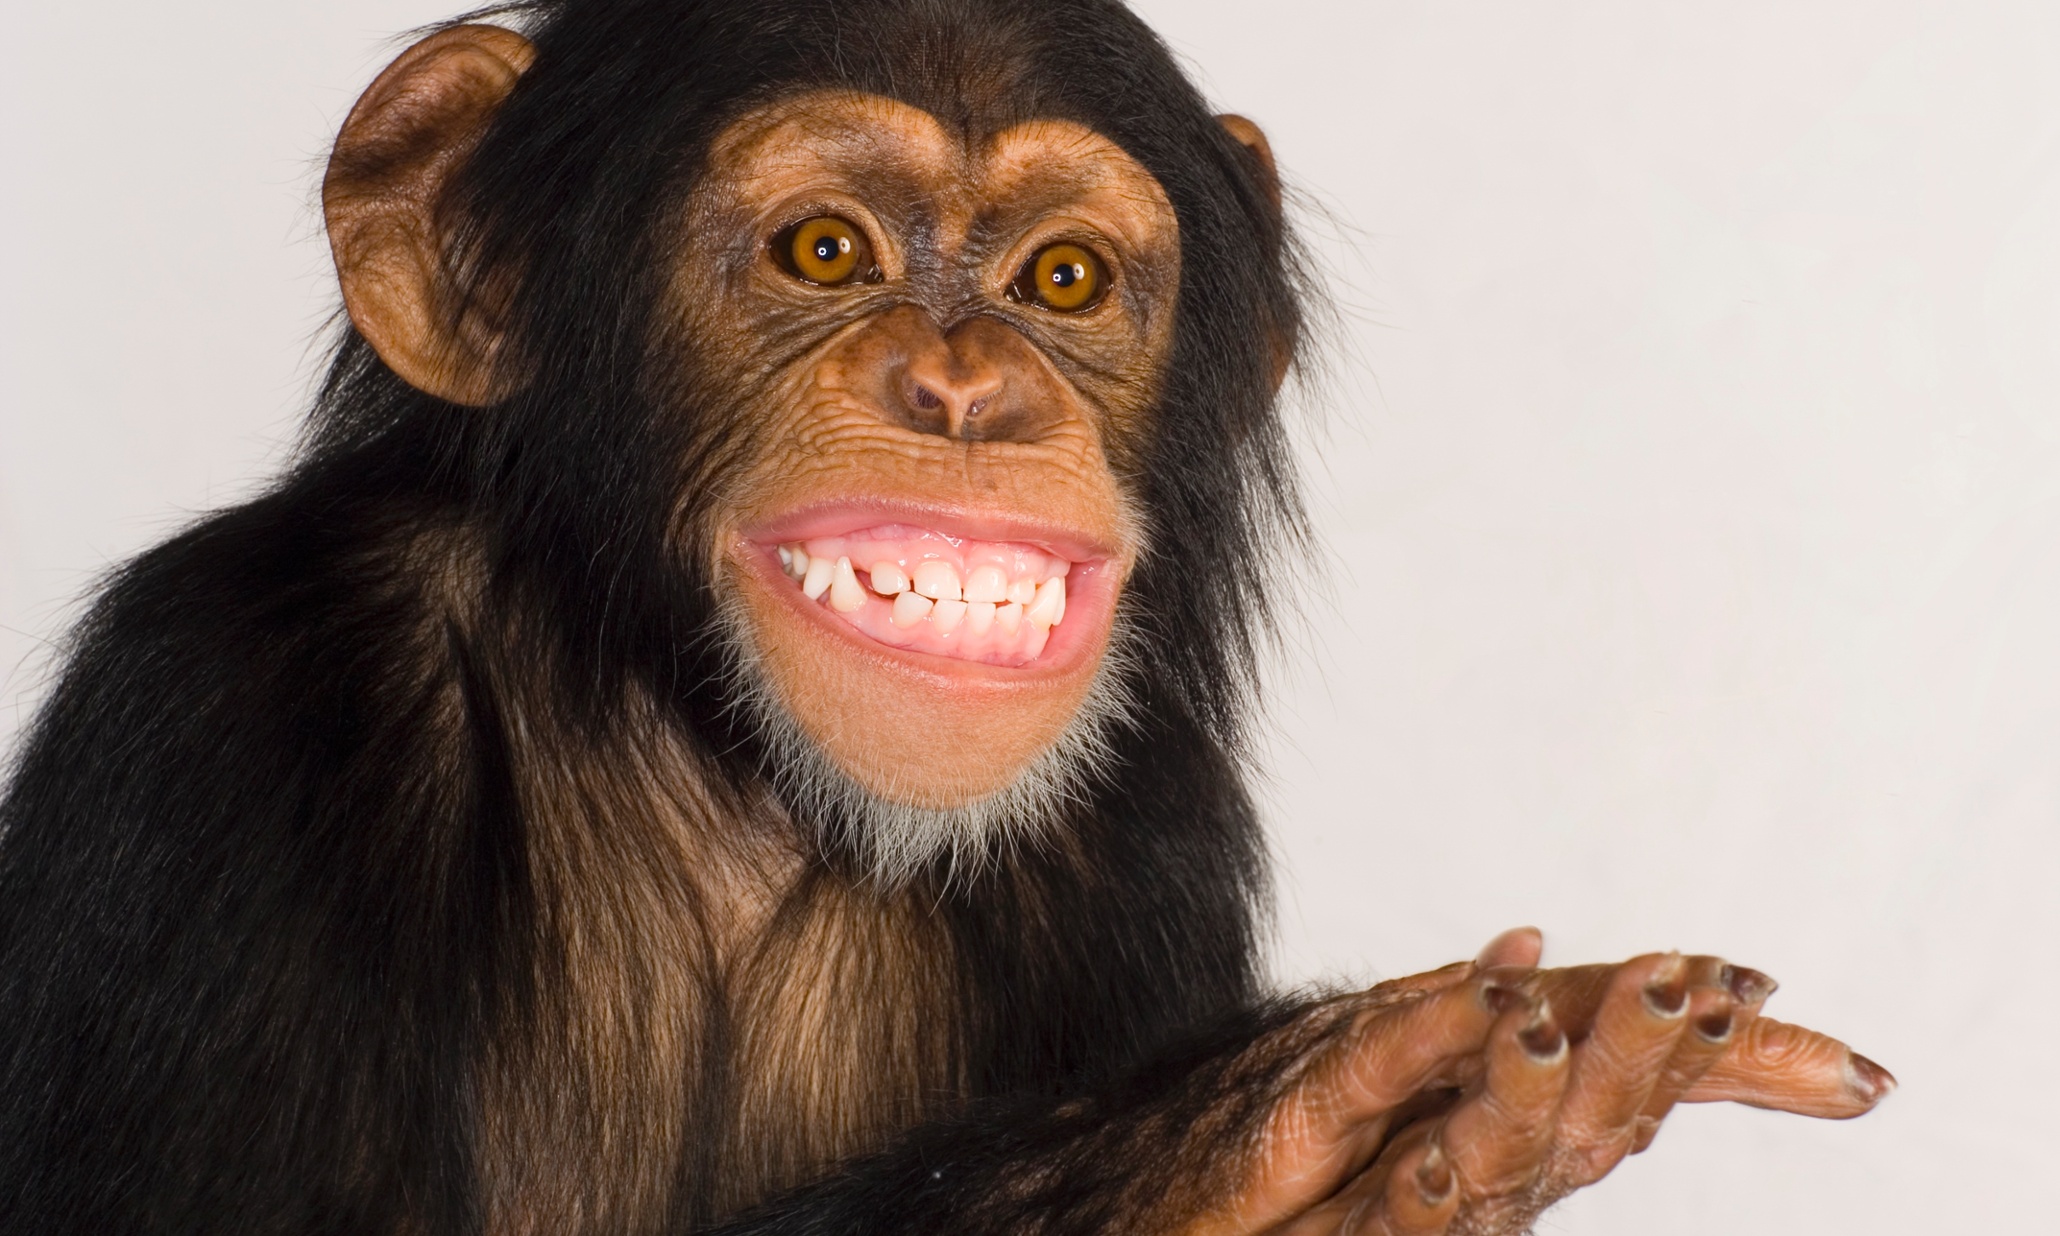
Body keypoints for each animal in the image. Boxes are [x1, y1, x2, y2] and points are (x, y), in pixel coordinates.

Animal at [0, 2, 1892, 1234]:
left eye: (1065, 279)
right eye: (824, 250)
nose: (968, 391)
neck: (720, 769)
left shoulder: (1151, 839)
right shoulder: (234, 708)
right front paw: (1229, 1132)